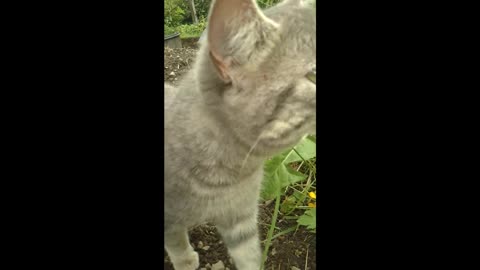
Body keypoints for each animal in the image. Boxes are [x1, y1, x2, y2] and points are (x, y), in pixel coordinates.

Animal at [163, 0, 316, 270]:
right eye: (314, 75)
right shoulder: (169, 219)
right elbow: (176, 242)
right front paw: (186, 261)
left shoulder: (241, 219)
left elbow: (249, 256)